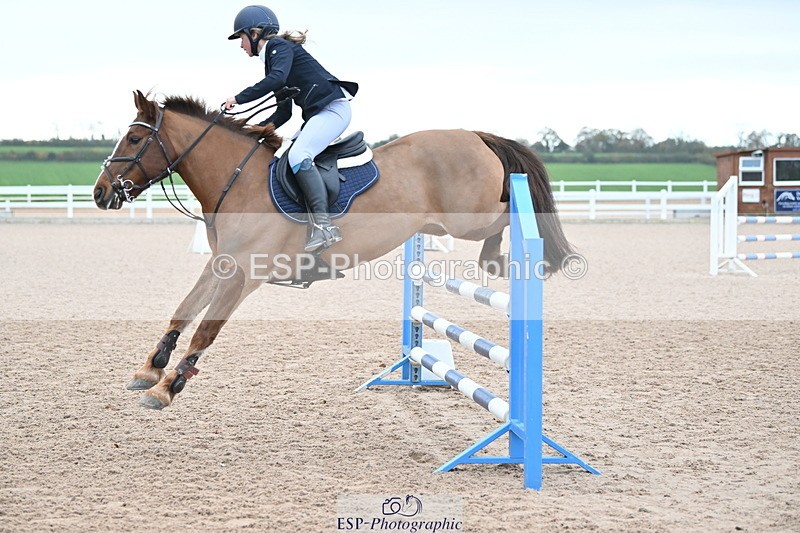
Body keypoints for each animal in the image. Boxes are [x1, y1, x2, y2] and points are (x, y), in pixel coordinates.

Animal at [93, 90, 573, 410]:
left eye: (133, 140)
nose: (100, 193)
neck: (237, 181)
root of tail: (474, 134)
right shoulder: (223, 263)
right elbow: (184, 311)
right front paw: (151, 368)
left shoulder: (245, 274)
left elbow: (205, 330)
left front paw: (169, 387)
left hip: (469, 218)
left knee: (510, 212)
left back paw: (501, 259)